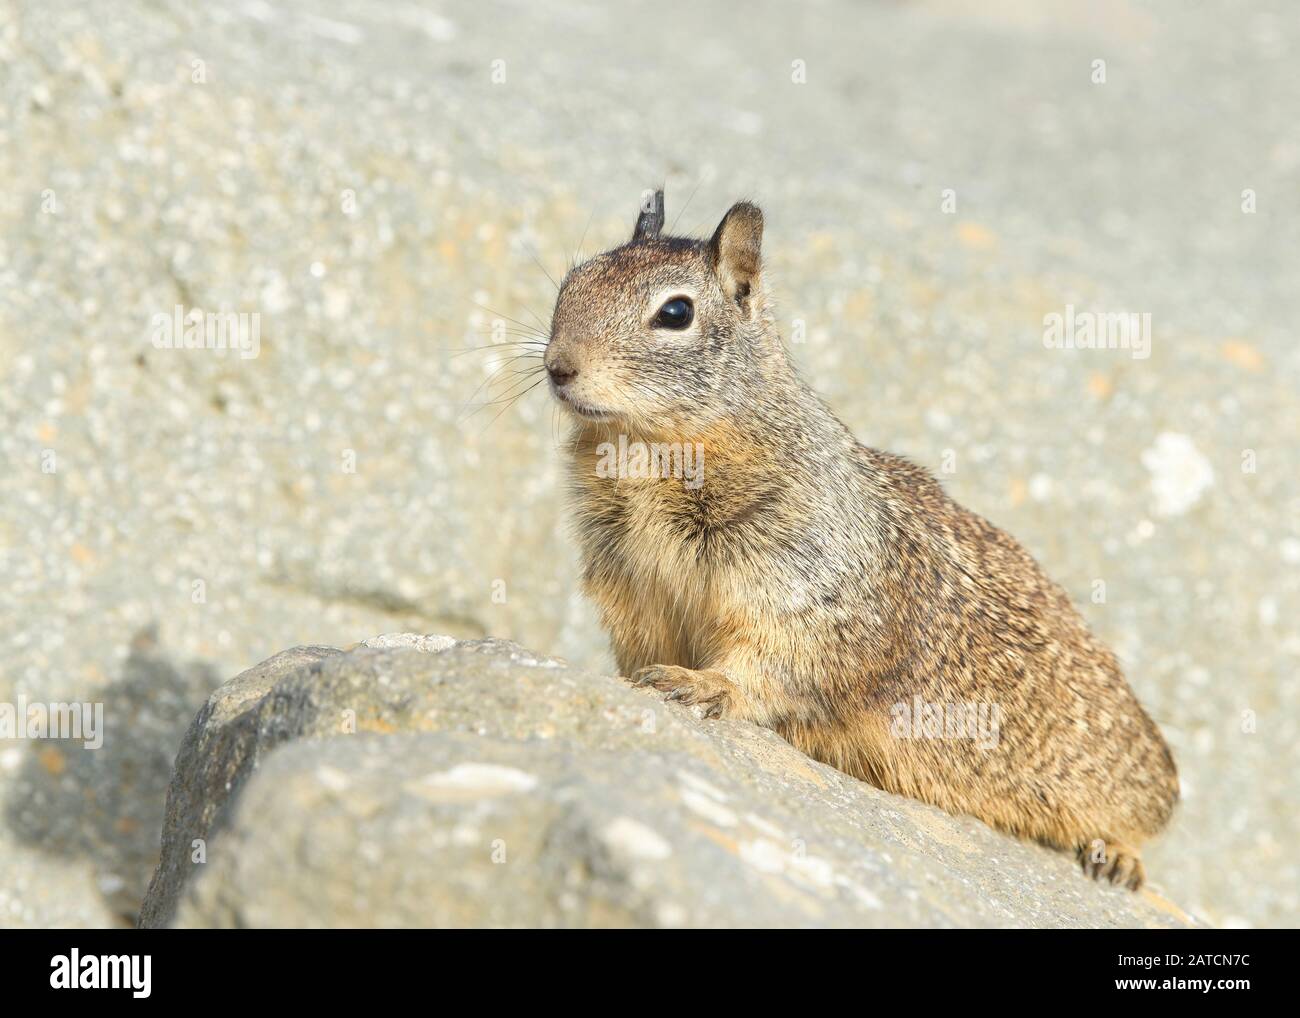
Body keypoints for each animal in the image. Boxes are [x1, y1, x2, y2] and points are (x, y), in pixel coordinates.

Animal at [538, 193, 1180, 894]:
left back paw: (1115, 857)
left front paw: (700, 686)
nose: (557, 367)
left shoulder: (803, 590)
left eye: (675, 313)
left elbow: (771, 665)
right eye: (571, 281)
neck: (647, 456)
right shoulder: (629, 588)